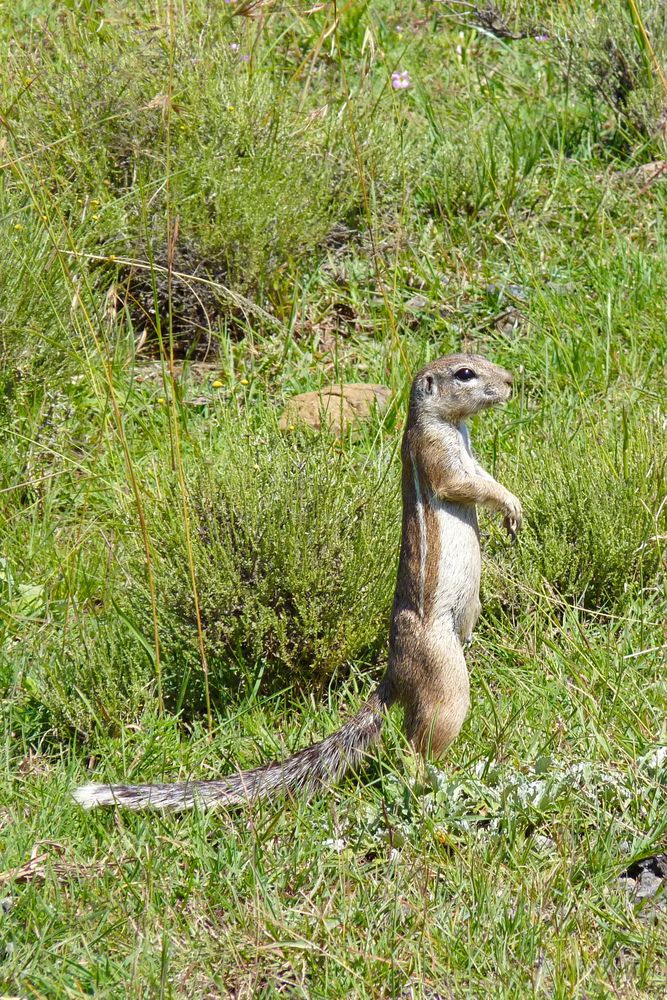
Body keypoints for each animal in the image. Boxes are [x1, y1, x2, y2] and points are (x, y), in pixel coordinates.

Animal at [73, 356, 520, 808]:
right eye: (465, 373)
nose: (510, 382)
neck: (451, 425)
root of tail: (395, 671)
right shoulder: (435, 453)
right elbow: (464, 483)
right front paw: (510, 504)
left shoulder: (469, 456)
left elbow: (483, 476)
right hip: (447, 684)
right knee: (415, 748)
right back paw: (436, 782)